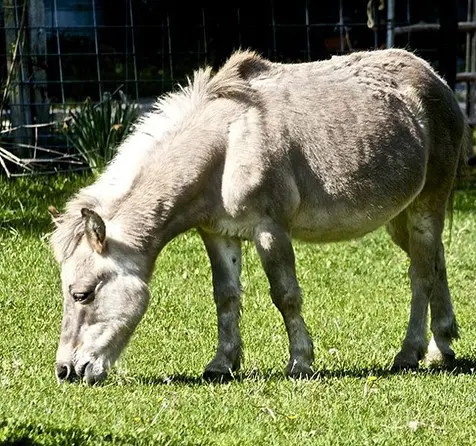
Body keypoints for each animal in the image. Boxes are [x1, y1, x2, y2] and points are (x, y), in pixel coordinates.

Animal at [49, 48, 468, 384]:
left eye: (82, 293)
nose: (66, 371)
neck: (226, 144)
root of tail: (437, 81)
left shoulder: (270, 231)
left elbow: (285, 295)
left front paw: (300, 362)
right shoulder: (217, 234)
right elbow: (226, 296)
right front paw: (222, 363)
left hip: (426, 205)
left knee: (421, 276)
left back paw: (410, 353)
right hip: (399, 218)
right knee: (436, 262)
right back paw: (441, 347)